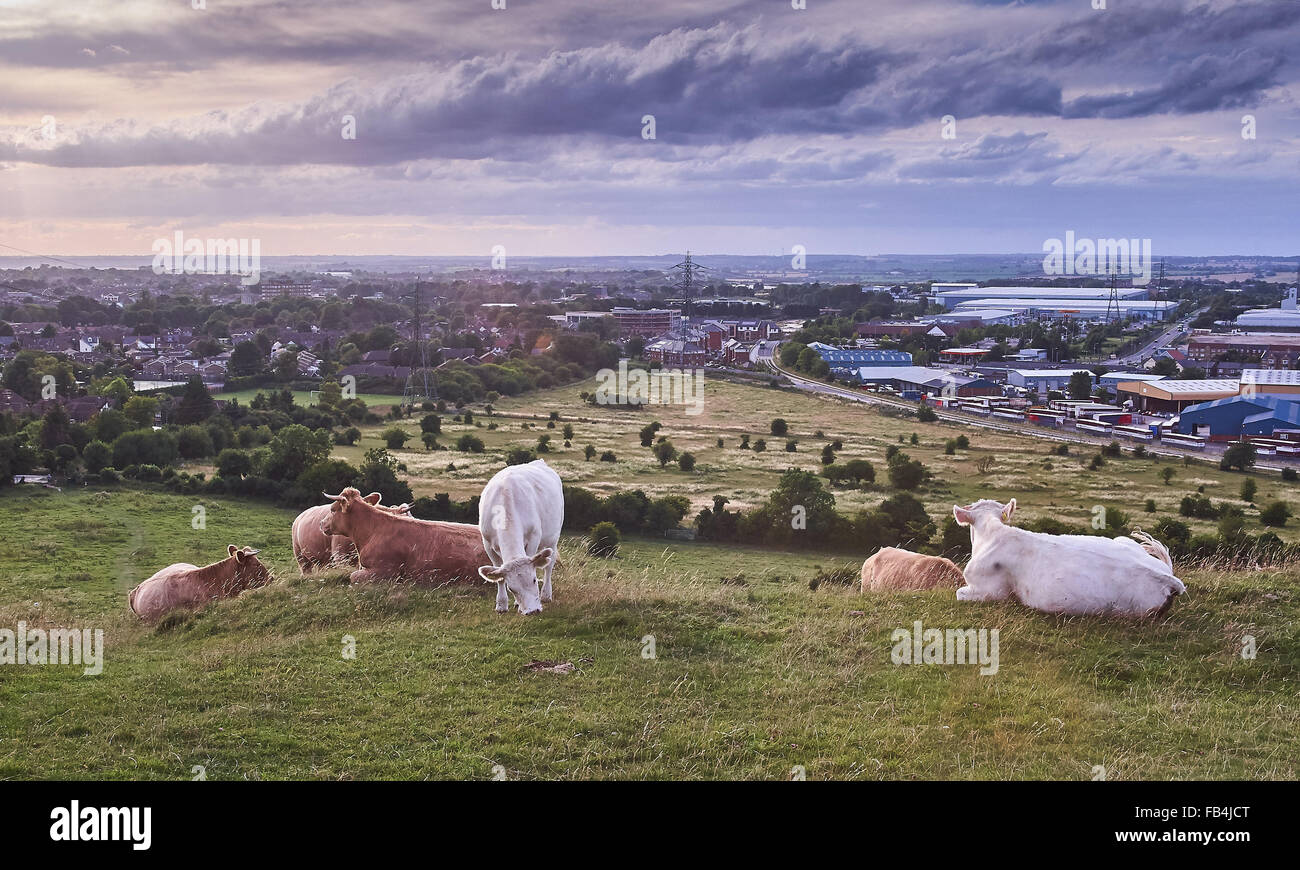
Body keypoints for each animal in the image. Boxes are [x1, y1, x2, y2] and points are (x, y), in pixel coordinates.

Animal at [475, 457, 561, 613]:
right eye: (511, 588)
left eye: (534, 580)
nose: (532, 611)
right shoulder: (487, 544)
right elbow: (498, 573)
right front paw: (501, 604)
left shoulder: (534, 537)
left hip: (553, 538)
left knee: (549, 565)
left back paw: (546, 594)